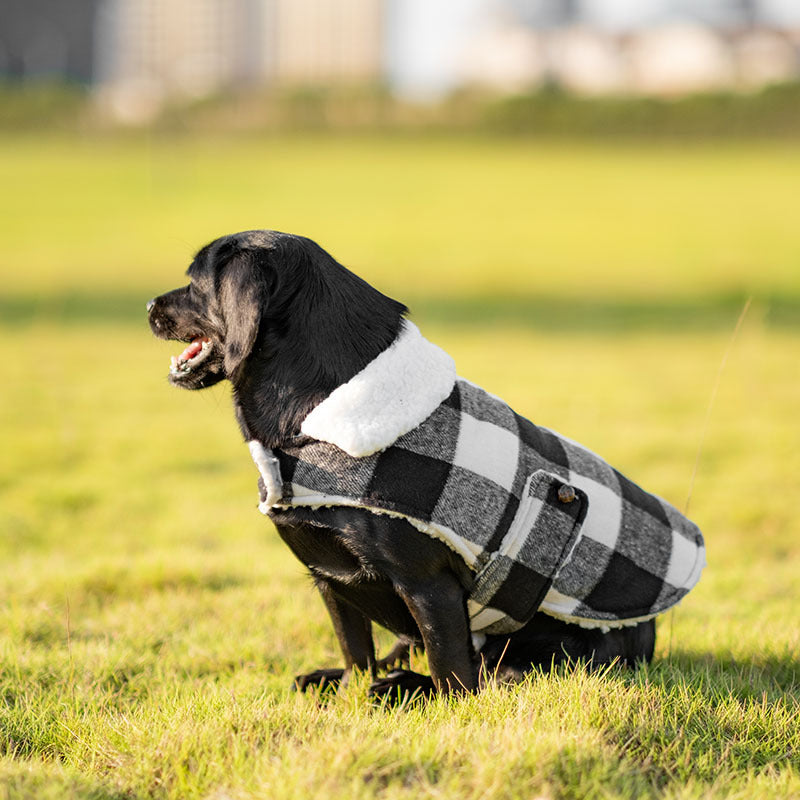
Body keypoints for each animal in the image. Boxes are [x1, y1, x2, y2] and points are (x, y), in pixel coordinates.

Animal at [147, 230, 680, 700]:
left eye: (196, 282)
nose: (149, 306)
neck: (317, 423)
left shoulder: (428, 584)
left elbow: (454, 677)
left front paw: (433, 700)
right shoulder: (331, 579)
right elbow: (354, 650)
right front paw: (349, 687)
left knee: (492, 673)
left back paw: (404, 685)